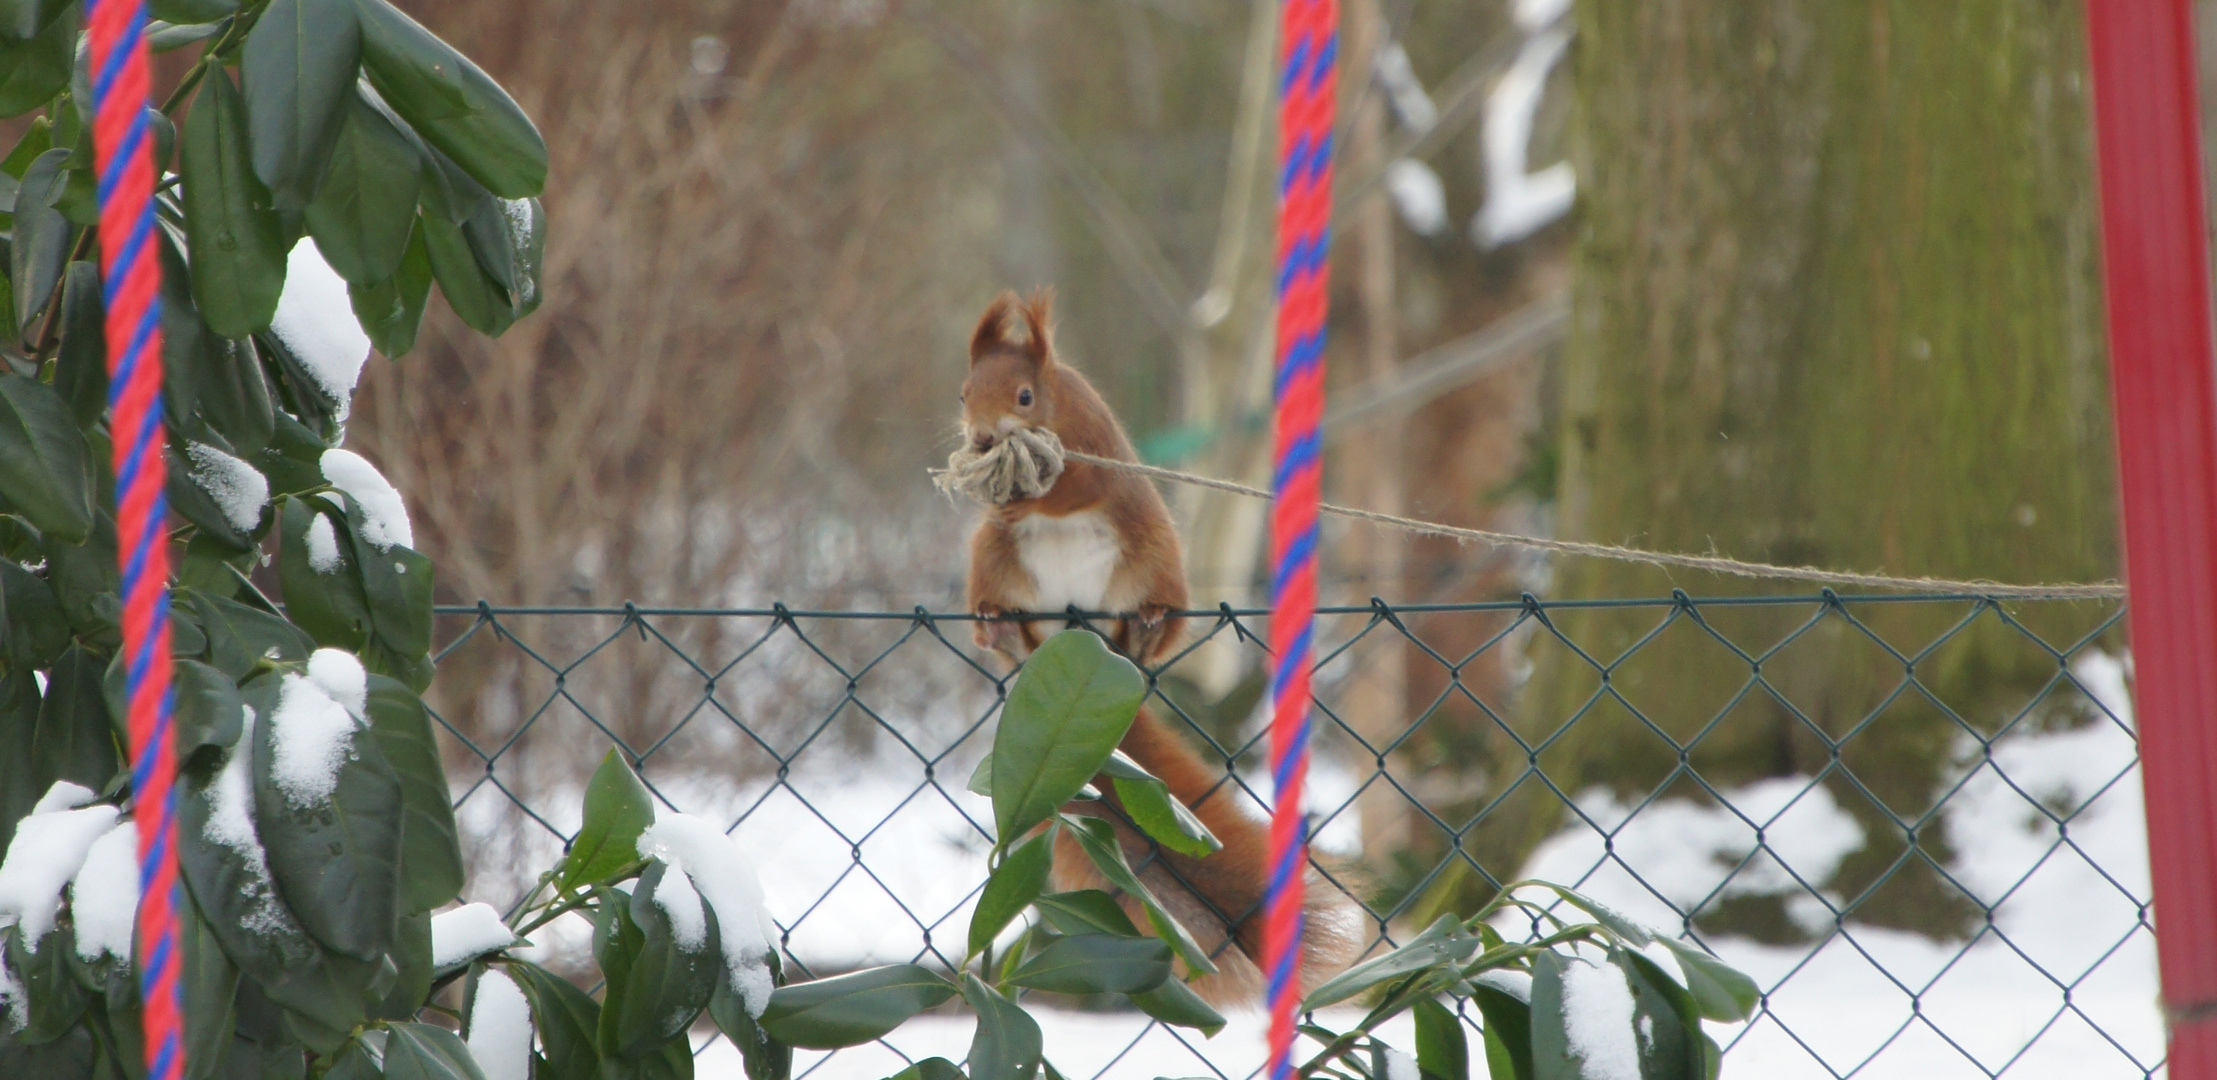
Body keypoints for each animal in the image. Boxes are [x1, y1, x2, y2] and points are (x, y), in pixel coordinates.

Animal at [962, 290, 1356, 1006]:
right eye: (962, 394)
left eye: (1026, 396)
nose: (980, 437)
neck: (1057, 408)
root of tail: (1081, 643)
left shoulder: (1096, 445)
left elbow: (1078, 484)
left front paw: (1029, 475)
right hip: (994, 561)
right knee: (1000, 612)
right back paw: (1000, 627)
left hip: (1153, 555)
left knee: (1154, 617)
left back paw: (1145, 627)